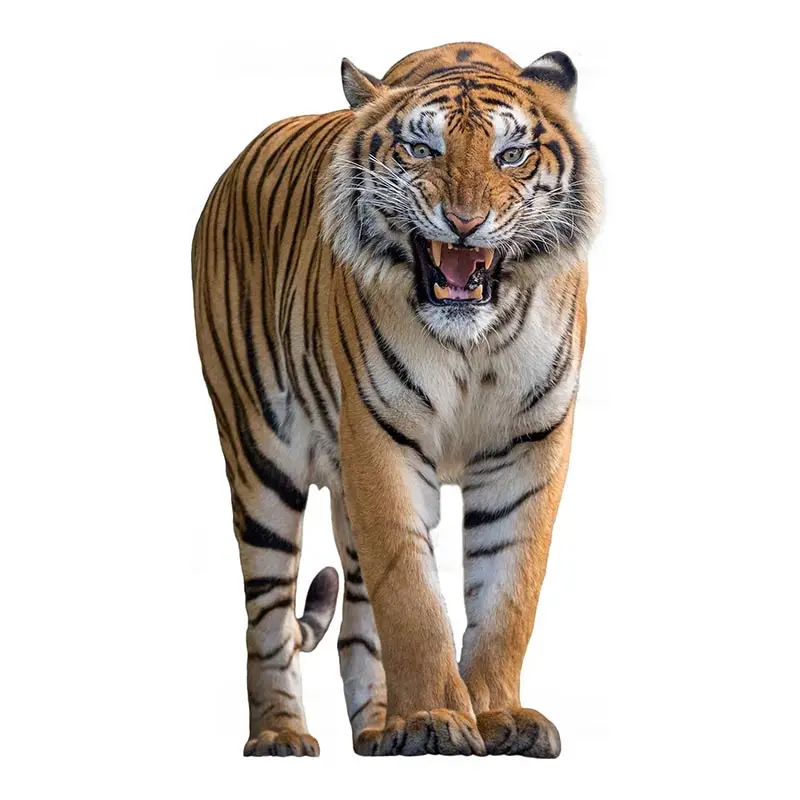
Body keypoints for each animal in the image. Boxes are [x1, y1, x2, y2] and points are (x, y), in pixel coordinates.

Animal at [192, 42, 600, 757]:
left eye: (511, 155)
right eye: (420, 149)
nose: (465, 223)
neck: (476, 343)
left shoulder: (529, 447)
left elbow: (507, 594)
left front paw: (498, 715)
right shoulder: (379, 439)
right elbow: (410, 596)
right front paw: (435, 717)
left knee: (356, 622)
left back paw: (378, 729)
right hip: (258, 458)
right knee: (267, 619)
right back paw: (281, 734)